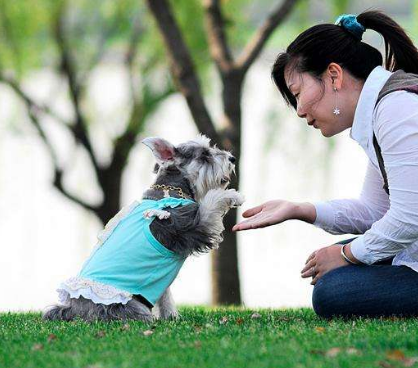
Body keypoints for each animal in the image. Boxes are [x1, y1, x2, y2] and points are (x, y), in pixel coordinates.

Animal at [43, 135, 245, 322]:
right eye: (204, 154)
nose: (232, 158)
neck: (171, 189)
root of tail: (73, 310)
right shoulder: (192, 226)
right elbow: (211, 202)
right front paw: (233, 196)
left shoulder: (159, 281)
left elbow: (165, 297)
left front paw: (171, 317)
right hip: (127, 305)